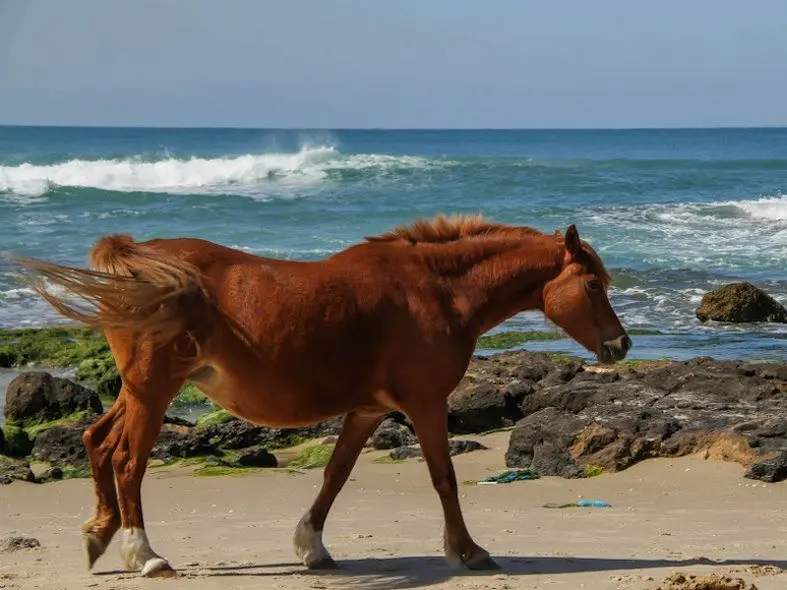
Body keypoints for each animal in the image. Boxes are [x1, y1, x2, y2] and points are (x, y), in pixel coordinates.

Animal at [10, 213, 628, 580]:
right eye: (592, 284)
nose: (621, 344)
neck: (436, 291)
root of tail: (137, 257)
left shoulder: (368, 409)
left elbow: (335, 475)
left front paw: (312, 547)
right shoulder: (425, 403)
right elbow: (444, 479)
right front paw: (468, 550)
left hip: (139, 390)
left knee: (96, 438)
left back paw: (99, 535)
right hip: (155, 390)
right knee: (127, 459)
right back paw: (144, 554)